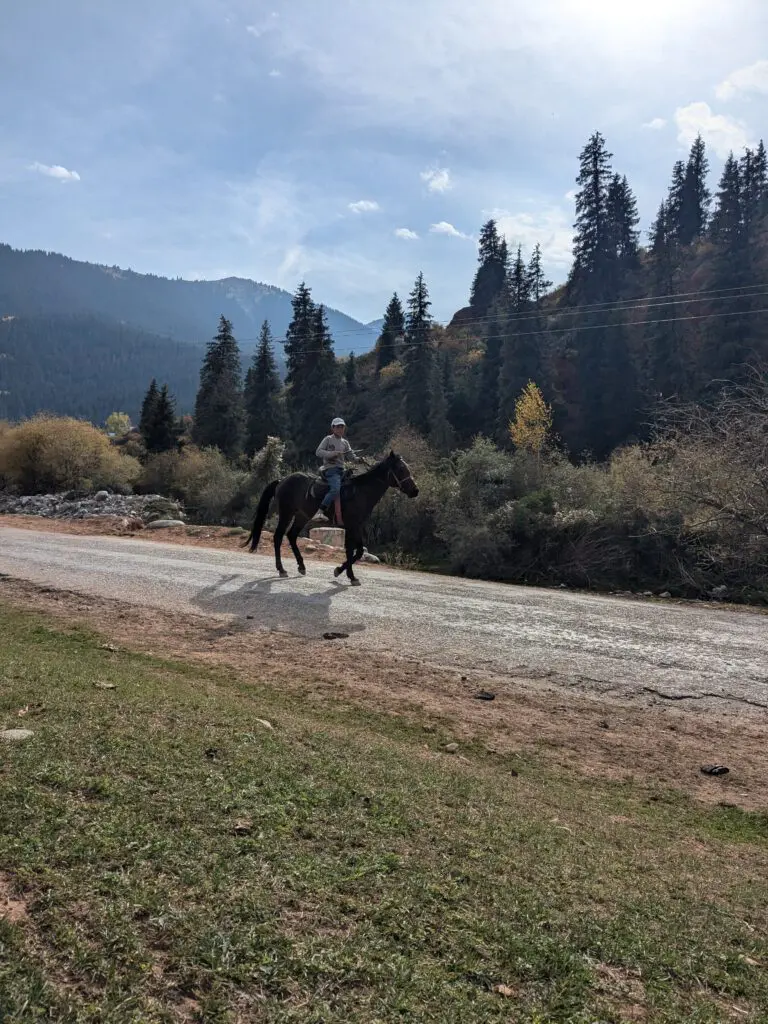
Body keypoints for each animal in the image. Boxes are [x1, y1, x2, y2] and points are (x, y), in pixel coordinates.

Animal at [241, 448, 417, 585]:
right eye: (401, 469)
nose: (415, 491)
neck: (361, 492)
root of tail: (282, 480)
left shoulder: (356, 526)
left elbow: (356, 551)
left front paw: (344, 572)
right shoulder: (352, 525)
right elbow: (354, 551)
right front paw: (345, 573)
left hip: (302, 516)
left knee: (291, 535)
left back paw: (301, 566)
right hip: (287, 513)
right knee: (278, 536)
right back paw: (281, 569)